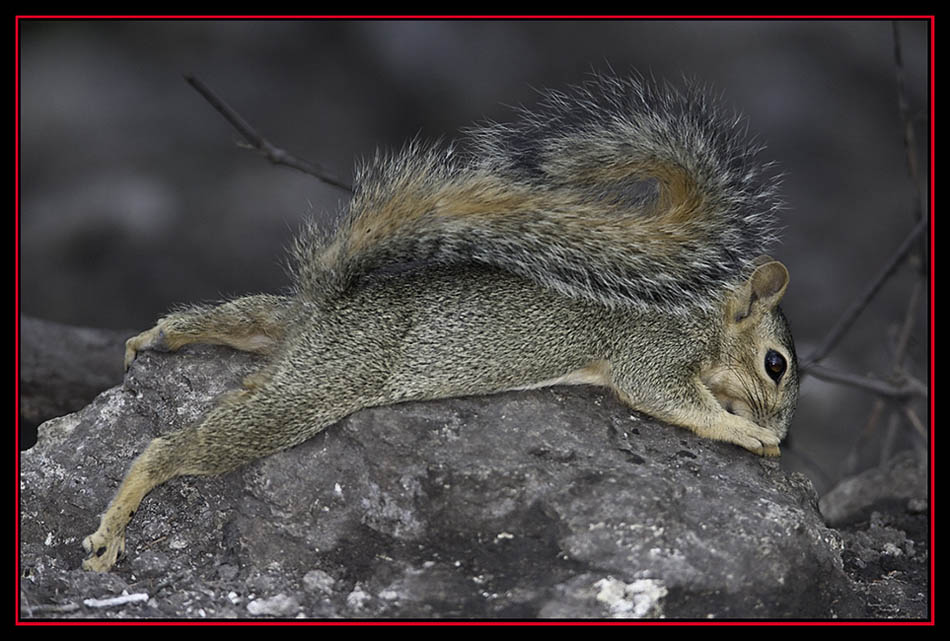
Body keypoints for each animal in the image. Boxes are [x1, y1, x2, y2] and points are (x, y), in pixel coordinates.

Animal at [82, 74, 800, 568]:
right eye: (776, 364)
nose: (784, 432)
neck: (702, 316)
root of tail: (326, 308)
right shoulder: (650, 350)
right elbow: (669, 397)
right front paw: (744, 430)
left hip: (289, 345)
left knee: (246, 319)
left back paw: (162, 333)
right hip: (321, 385)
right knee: (172, 447)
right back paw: (114, 525)